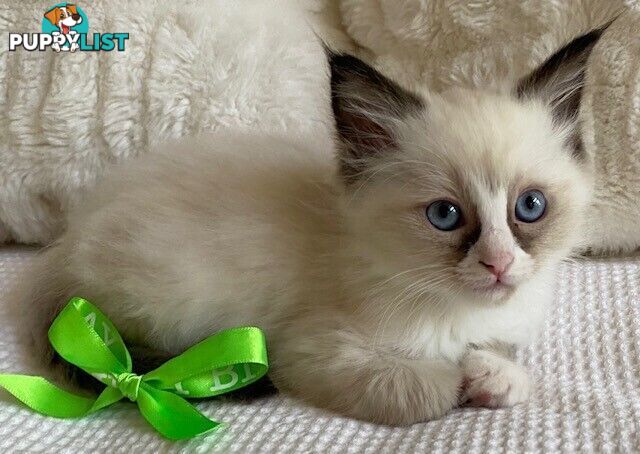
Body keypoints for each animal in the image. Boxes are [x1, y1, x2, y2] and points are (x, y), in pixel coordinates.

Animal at [16, 30, 600, 424]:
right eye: (445, 216)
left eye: (530, 207)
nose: (499, 265)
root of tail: (64, 244)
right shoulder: (310, 350)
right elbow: (425, 390)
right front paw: (459, 380)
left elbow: (504, 357)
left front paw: (492, 375)